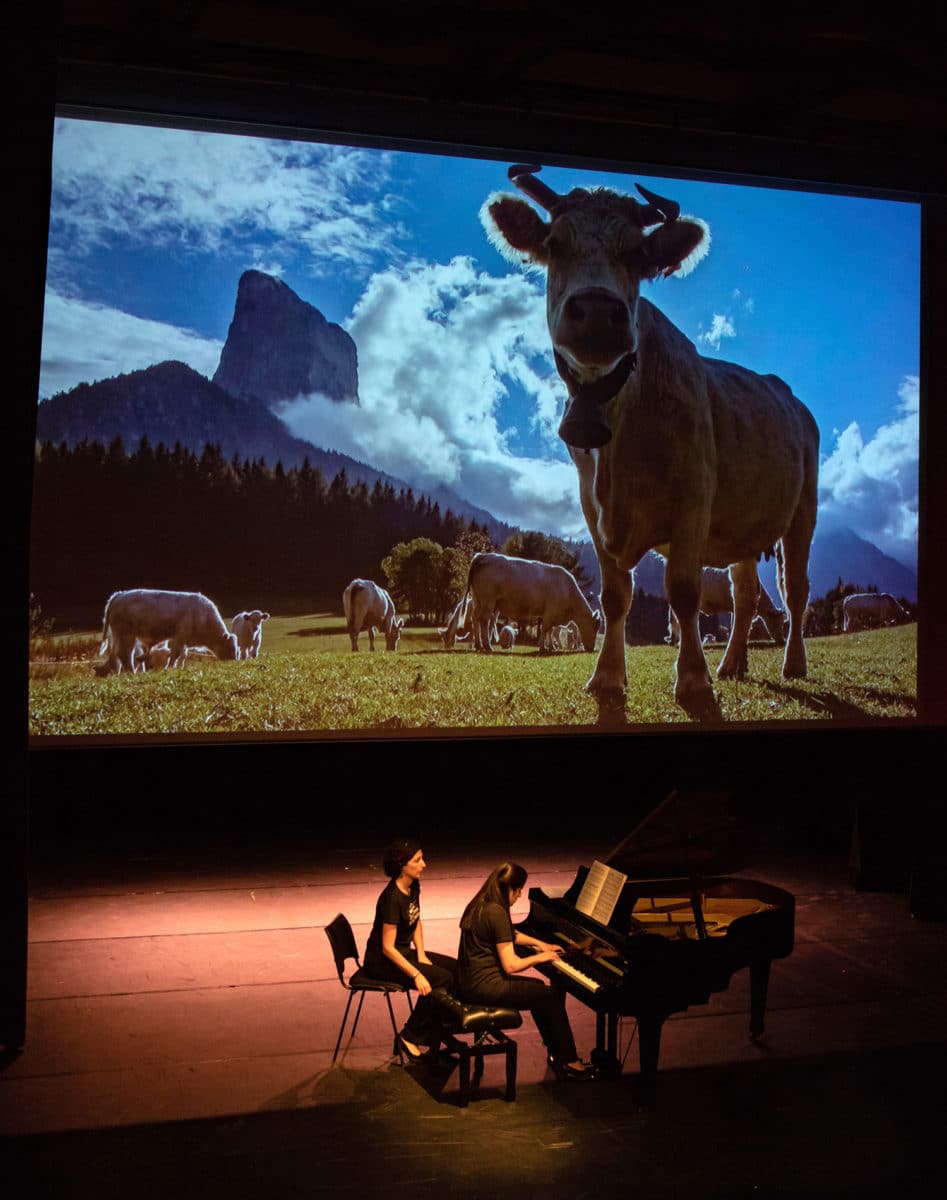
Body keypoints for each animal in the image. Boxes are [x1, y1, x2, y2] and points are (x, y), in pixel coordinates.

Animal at [97, 590, 238, 676]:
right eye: (231, 647)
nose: (235, 661)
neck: (204, 617)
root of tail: (119, 595)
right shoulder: (179, 638)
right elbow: (175, 654)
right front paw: (170, 667)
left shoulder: (183, 641)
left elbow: (182, 655)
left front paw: (179, 667)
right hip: (127, 636)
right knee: (125, 655)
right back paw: (132, 672)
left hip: (119, 637)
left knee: (116, 656)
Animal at [463, 552, 597, 657]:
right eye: (594, 627)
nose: (592, 649)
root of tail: (483, 556)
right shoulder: (551, 613)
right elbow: (545, 629)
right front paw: (543, 647)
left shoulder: (552, 614)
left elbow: (550, 631)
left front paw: (551, 647)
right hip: (488, 600)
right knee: (484, 620)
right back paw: (487, 646)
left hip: (477, 599)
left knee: (475, 618)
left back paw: (478, 645)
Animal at [484, 158, 816, 700]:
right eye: (556, 243)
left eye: (637, 254)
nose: (598, 310)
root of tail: (786, 394)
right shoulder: (593, 509)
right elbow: (616, 596)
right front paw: (607, 675)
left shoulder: (694, 497)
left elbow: (683, 592)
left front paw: (694, 678)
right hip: (743, 527)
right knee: (746, 596)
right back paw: (733, 663)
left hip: (802, 513)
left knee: (796, 591)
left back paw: (793, 663)